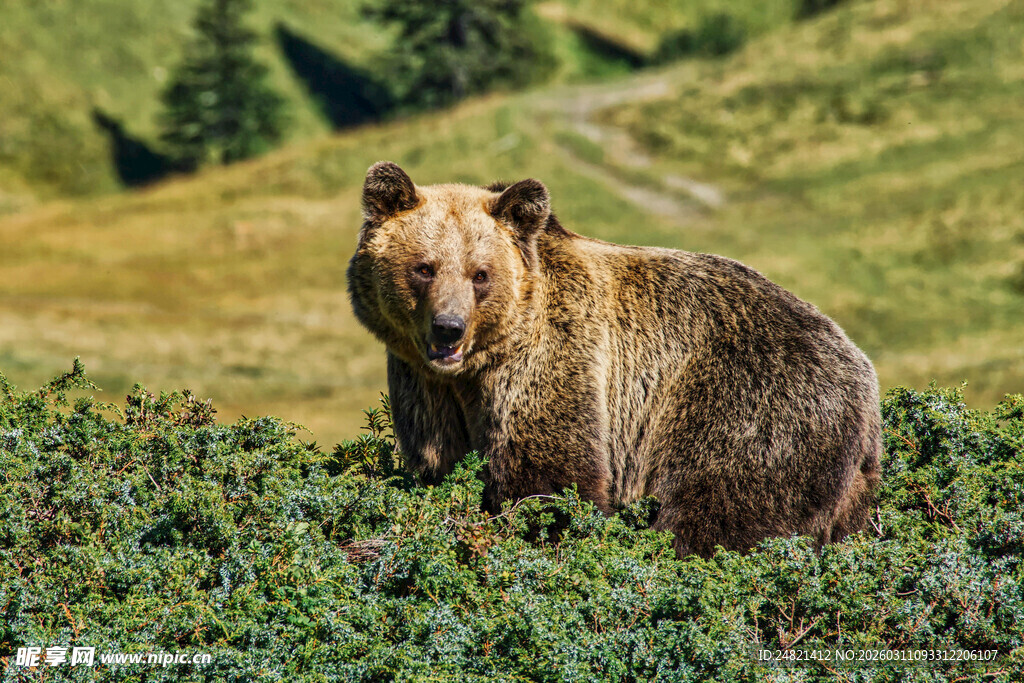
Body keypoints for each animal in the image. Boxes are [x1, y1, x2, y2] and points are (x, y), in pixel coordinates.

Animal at [347, 161, 881, 558]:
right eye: (424, 268)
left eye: (480, 274)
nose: (448, 327)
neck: (477, 367)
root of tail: (863, 374)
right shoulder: (423, 385)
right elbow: (438, 460)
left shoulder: (553, 359)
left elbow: (550, 474)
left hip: (749, 405)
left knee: (714, 513)